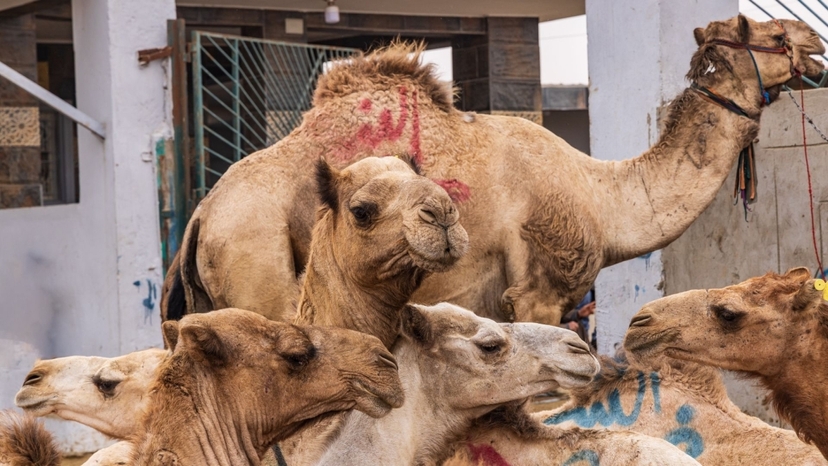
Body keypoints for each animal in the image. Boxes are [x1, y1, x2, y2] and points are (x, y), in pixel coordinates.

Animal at [166, 16, 825, 327]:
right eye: (771, 34)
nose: (816, 42)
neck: (600, 194)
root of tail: (201, 219)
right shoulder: (541, 292)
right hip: (260, 264)